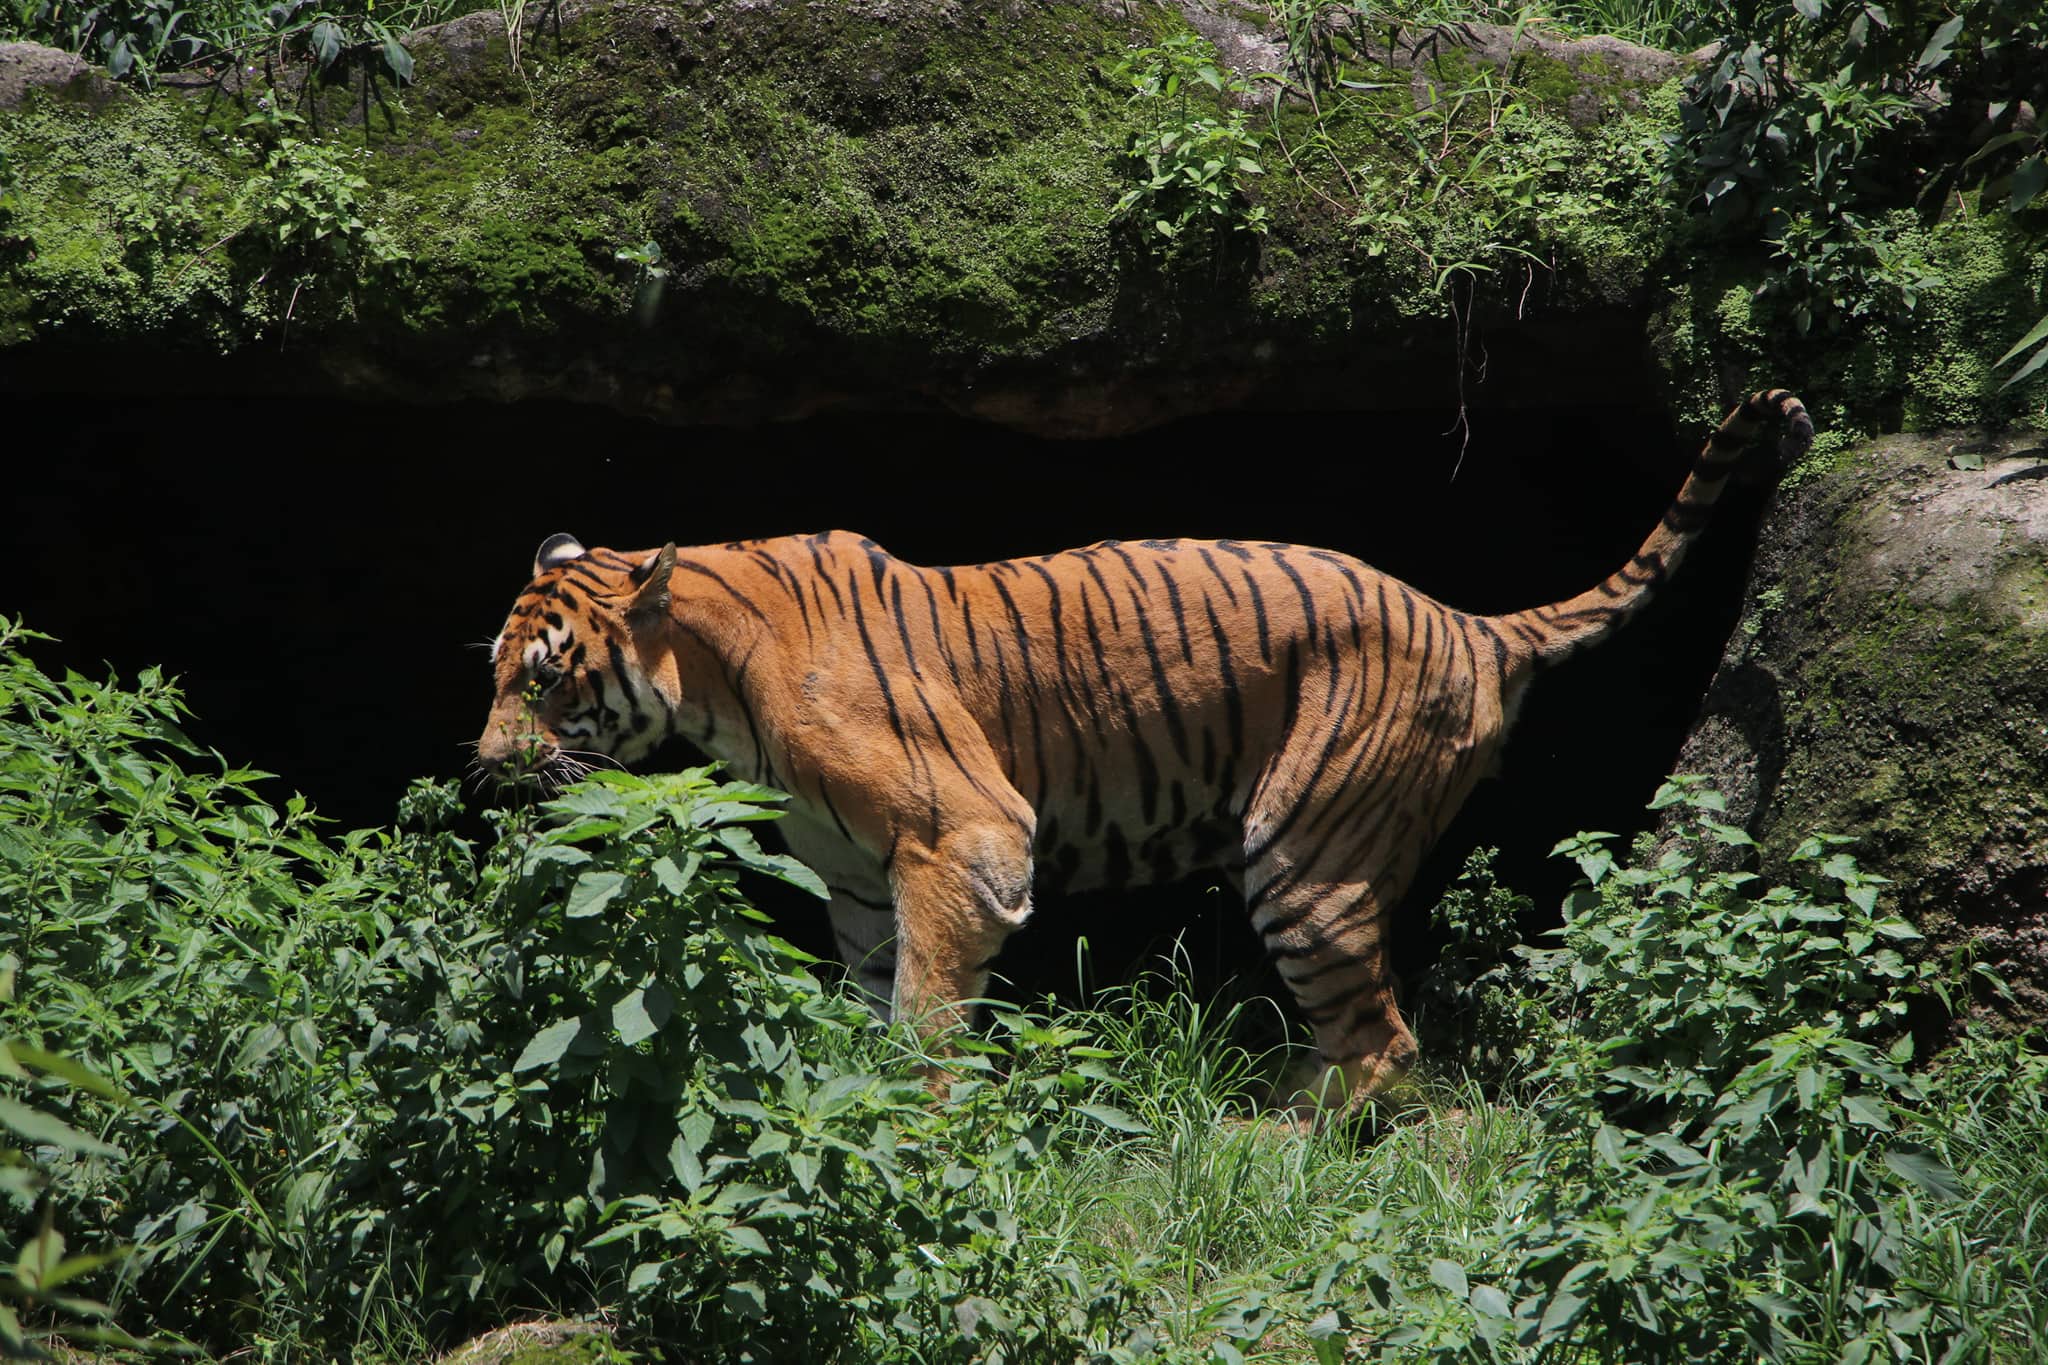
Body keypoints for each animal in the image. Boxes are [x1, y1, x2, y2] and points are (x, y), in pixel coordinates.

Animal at [476, 388, 1812, 1114]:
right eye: (491, 672)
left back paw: (1268, 1140)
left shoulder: (964, 840)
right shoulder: (858, 882)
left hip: (1304, 855)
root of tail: (1469, 620)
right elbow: (871, 999)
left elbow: (924, 1014)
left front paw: (921, 1124)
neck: (712, 684)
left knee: (1378, 1041)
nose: (482, 763)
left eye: (541, 681)